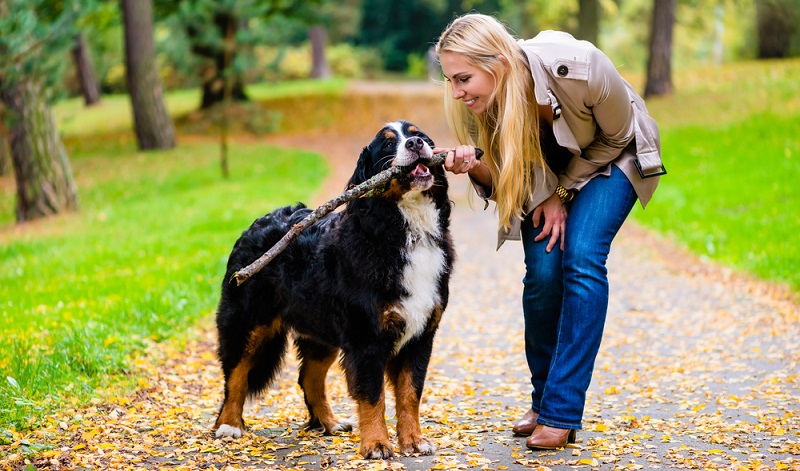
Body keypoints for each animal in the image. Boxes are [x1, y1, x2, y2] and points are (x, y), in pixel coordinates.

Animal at [209, 120, 454, 460]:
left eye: (419, 135)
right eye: (388, 144)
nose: (416, 144)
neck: (404, 231)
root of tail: (255, 224)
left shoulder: (420, 335)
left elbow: (409, 394)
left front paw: (414, 440)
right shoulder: (366, 337)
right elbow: (373, 395)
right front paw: (376, 444)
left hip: (320, 329)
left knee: (308, 378)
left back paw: (329, 423)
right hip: (248, 323)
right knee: (236, 376)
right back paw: (228, 425)